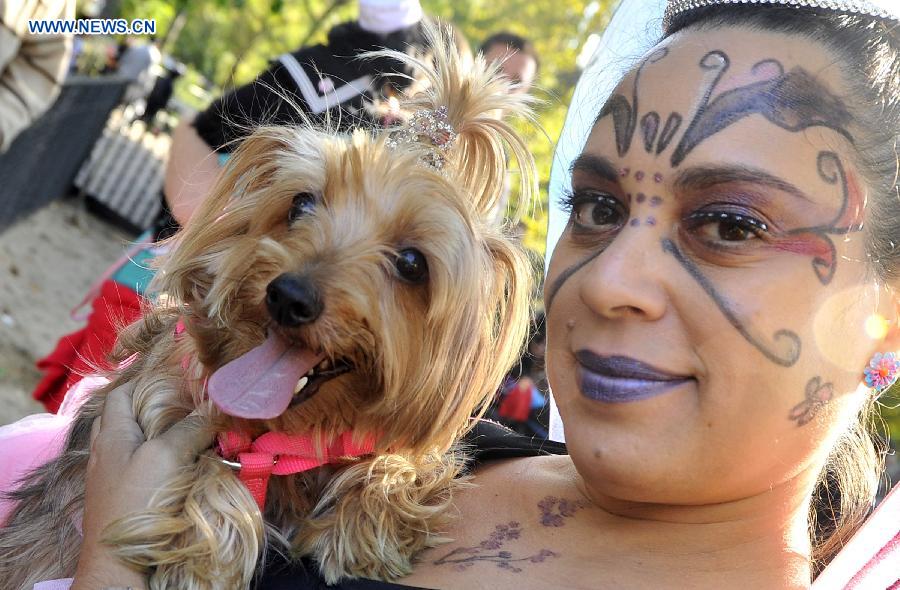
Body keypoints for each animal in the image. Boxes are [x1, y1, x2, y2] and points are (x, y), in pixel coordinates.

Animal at [0, 25, 536, 588]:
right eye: (302, 203)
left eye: (413, 263)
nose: (289, 296)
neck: (279, 437)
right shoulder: (160, 396)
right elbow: (208, 461)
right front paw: (197, 548)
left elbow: (402, 458)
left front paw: (374, 511)